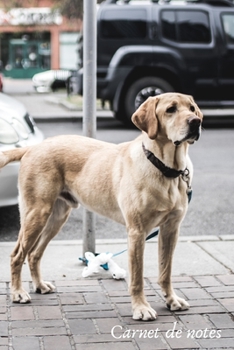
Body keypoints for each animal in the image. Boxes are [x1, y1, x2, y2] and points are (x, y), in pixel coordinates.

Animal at [0, 92, 203, 320]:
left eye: (192, 108)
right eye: (171, 109)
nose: (196, 122)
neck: (166, 169)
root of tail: (33, 147)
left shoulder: (170, 230)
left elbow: (165, 271)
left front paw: (171, 300)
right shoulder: (137, 232)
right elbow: (137, 277)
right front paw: (141, 308)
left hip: (57, 217)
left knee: (34, 254)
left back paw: (40, 285)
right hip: (36, 213)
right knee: (17, 255)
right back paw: (18, 292)